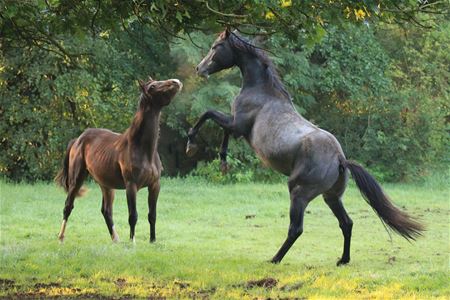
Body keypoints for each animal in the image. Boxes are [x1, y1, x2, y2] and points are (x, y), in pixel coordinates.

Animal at [55, 78, 182, 244]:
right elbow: (133, 216)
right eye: (153, 86)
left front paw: (152, 241)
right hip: (76, 180)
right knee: (68, 206)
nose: (176, 82)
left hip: (106, 185)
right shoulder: (131, 186)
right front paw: (132, 242)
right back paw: (61, 237)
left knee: (106, 210)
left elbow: (152, 215)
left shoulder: (155, 185)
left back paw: (115, 239)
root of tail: (77, 140)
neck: (141, 148)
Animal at [185, 29, 424, 264]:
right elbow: (218, 126)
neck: (262, 91)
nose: (199, 68)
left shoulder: (236, 125)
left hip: (299, 193)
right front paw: (223, 162)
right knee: (346, 223)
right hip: (332, 197)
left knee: (296, 229)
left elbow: (207, 114)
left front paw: (191, 144)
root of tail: (340, 159)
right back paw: (343, 260)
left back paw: (275, 259)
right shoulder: (235, 126)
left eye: (216, 46)